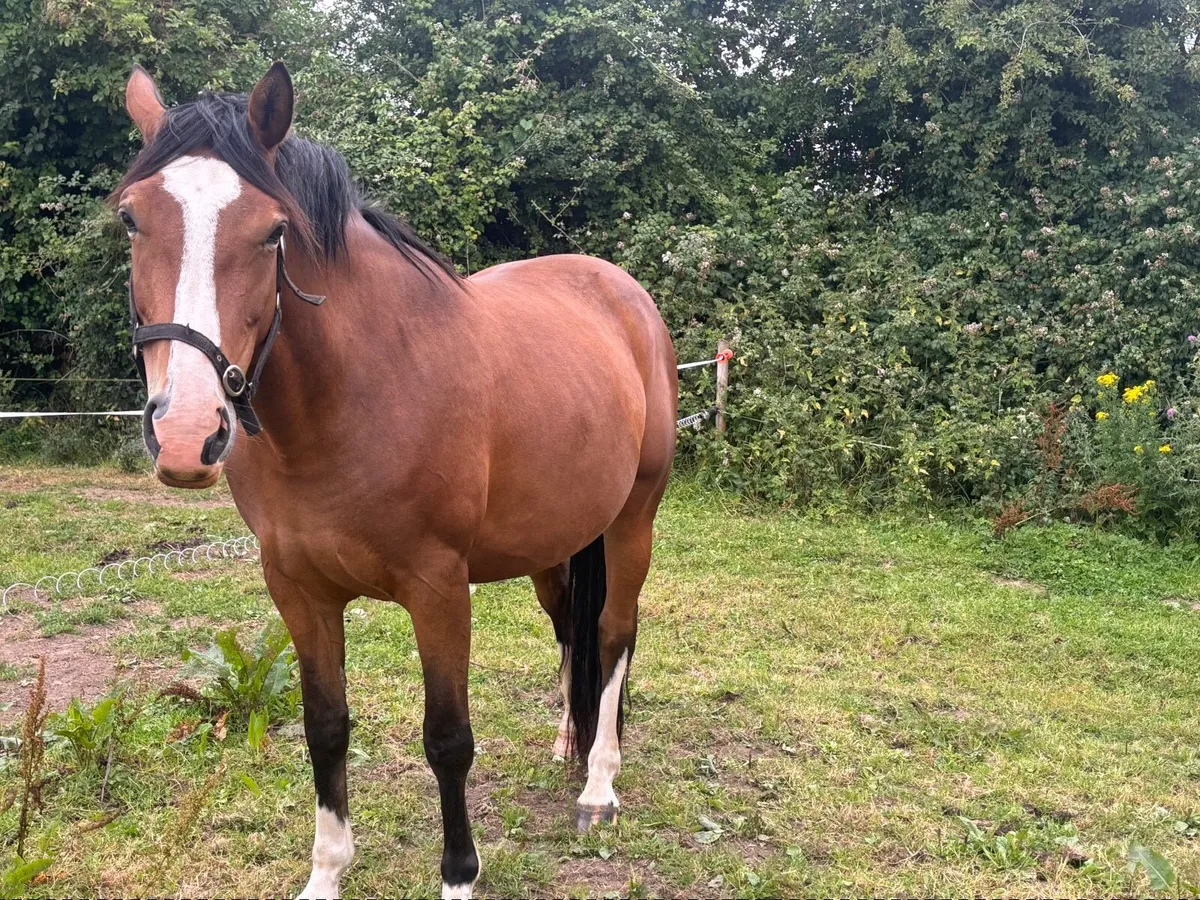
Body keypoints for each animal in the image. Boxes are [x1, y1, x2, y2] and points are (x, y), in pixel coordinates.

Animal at [113, 61, 677, 898]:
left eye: (273, 231)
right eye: (131, 220)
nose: (187, 432)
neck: (353, 395)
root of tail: (624, 294)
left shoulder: (438, 589)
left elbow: (447, 740)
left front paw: (458, 877)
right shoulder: (298, 590)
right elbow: (325, 728)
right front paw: (325, 873)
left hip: (631, 521)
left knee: (613, 633)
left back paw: (599, 786)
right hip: (555, 543)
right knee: (570, 629)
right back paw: (568, 745)